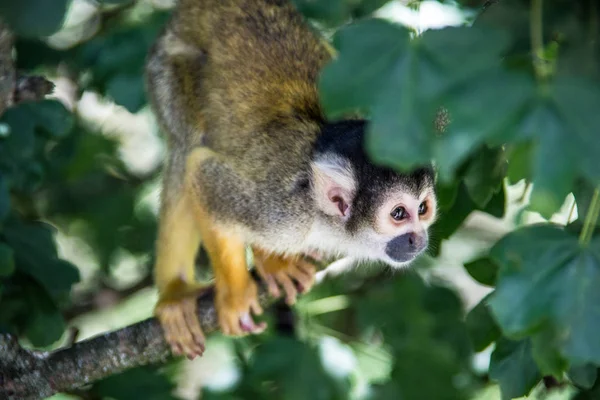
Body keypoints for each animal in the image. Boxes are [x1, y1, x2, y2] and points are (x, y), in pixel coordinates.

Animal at [144, 0, 438, 358]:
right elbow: (203, 174)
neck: (324, 218)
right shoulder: (283, 214)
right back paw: (175, 292)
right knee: (187, 145)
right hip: (168, 63)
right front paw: (235, 295)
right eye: (398, 214)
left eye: (422, 209)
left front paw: (270, 262)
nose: (418, 239)